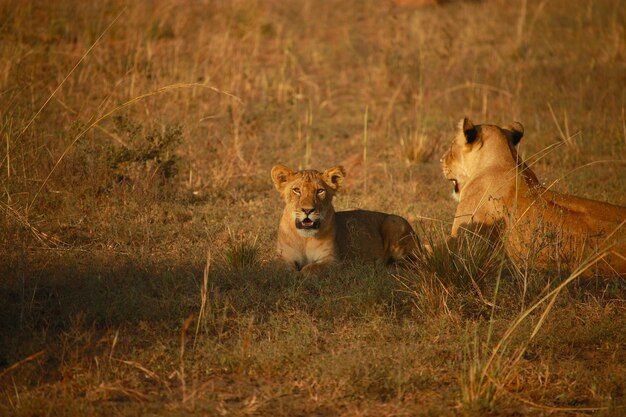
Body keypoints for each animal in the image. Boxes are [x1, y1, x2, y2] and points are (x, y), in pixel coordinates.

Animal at [270, 164, 420, 274]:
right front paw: (291, 274)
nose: (307, 210)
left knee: (411, 264)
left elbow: (311, 268)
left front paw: (301, 274)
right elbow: (278, 267)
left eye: (320, 191)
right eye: (296, 190)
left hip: (394, 222)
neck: (304, 239)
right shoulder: (283, 256)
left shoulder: (333, 261)